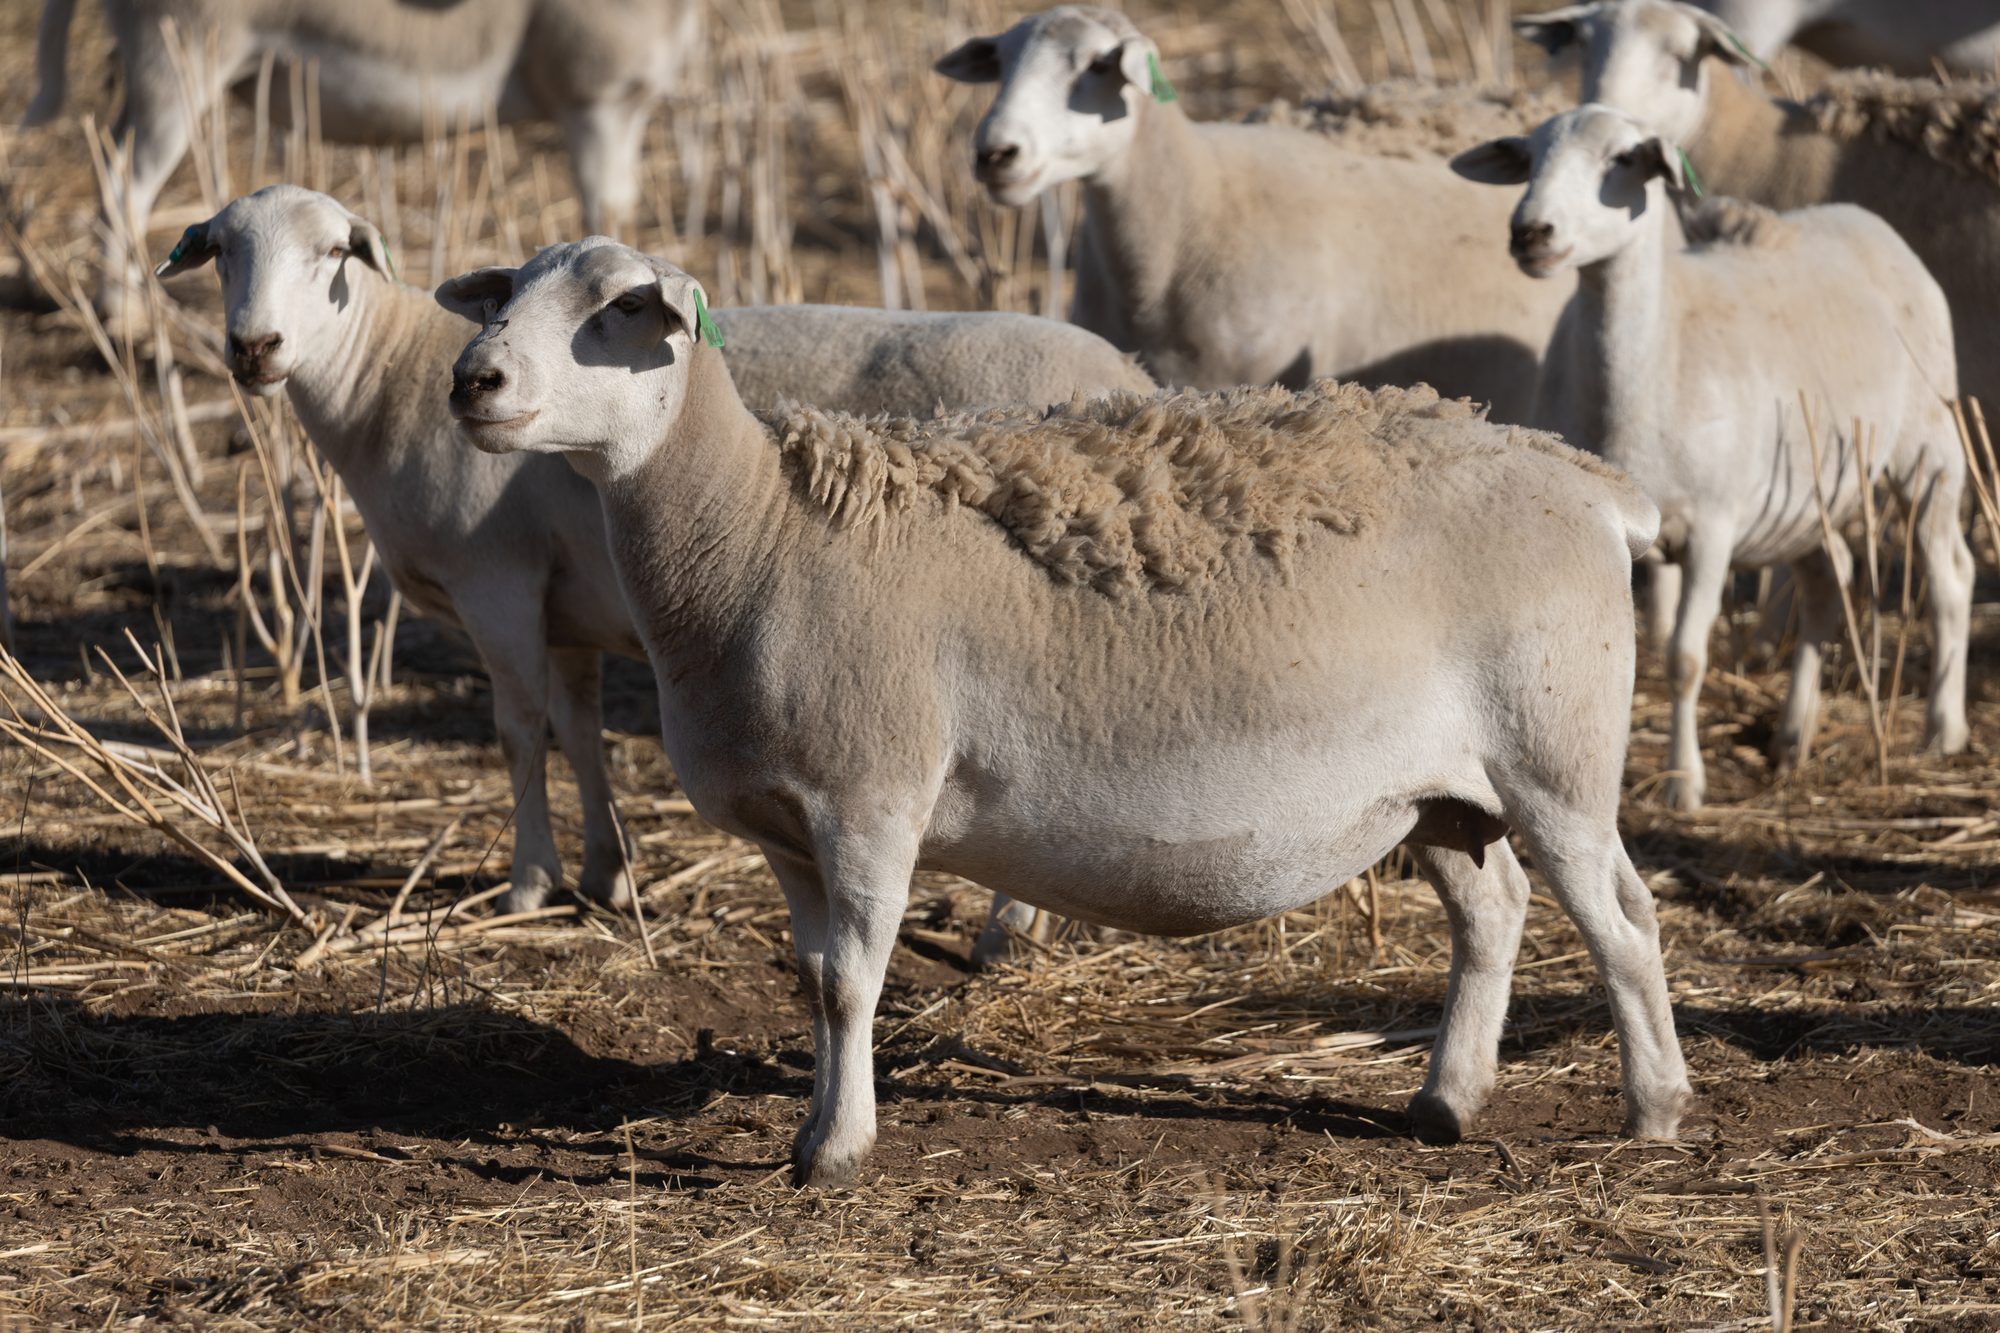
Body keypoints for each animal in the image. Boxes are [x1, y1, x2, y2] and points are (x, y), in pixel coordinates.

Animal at [26, 0, 702, 317]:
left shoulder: (625, 116)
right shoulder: (596, 108)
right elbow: (605, 219)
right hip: (175, 68)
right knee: (125, 183)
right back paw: (127, 320)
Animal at [157, 187, 1149, 945]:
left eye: (332, 251)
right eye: (220, 253)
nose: (254, 348)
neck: (386, 379)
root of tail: (1133, 376)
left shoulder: (498, 583)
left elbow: (519, 731)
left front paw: (529, 884)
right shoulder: (567, 606)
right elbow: (581, 729)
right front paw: (607, 870)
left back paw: (1008, 928)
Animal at [434, 235, 1694, 1186]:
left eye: (619, 307)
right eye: (506, 295)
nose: (472, 380)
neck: (756, 540)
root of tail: (1587, 483)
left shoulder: (869, 799)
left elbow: (850, 981)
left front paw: (834, 1152)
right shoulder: (786, 825)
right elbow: (812, 978)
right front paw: (812, 1129)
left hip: (1555, 751)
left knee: (1621, 919)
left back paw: (1653, 1108)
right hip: (1439, 787)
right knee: (1492, 913)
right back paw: (1445, 1101)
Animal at [1452, 105, 1974, 812]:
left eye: (1623, 158)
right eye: (1529, 158)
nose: (1531, 232)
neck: (1649, 357)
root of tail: (1871, 224)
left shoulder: (1714, 525)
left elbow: (1685, 659)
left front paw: (1684, 785)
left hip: (1929, 449)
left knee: (1951, 579)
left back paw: (1942, 731)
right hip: (1812, 490)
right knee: (1827, 583)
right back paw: (1791, 738)